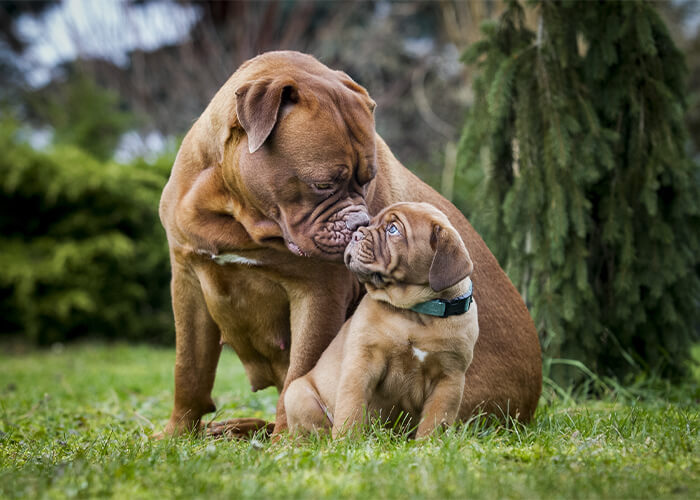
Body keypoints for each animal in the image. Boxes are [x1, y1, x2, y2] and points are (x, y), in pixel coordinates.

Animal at [288, 202, 478, 438]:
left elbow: (434, 421)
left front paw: (427, 445)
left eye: (393, 229)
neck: (416, 313)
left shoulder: (449, 378)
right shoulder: (362, 361)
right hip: (297, 395)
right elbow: (351, 408)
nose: (357, 234)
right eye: (371, 223)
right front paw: (345, 441)